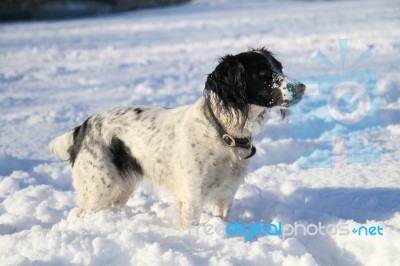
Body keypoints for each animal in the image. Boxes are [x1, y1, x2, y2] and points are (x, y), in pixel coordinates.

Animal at [50, 47, 306, 229]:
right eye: (263, 75)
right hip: (98, 187)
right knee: (81, 213)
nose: (303, 87)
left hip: (120, 188)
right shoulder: (191, 196)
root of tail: (82, 127)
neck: (222, 132)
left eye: (280, 68)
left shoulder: (226, 193)